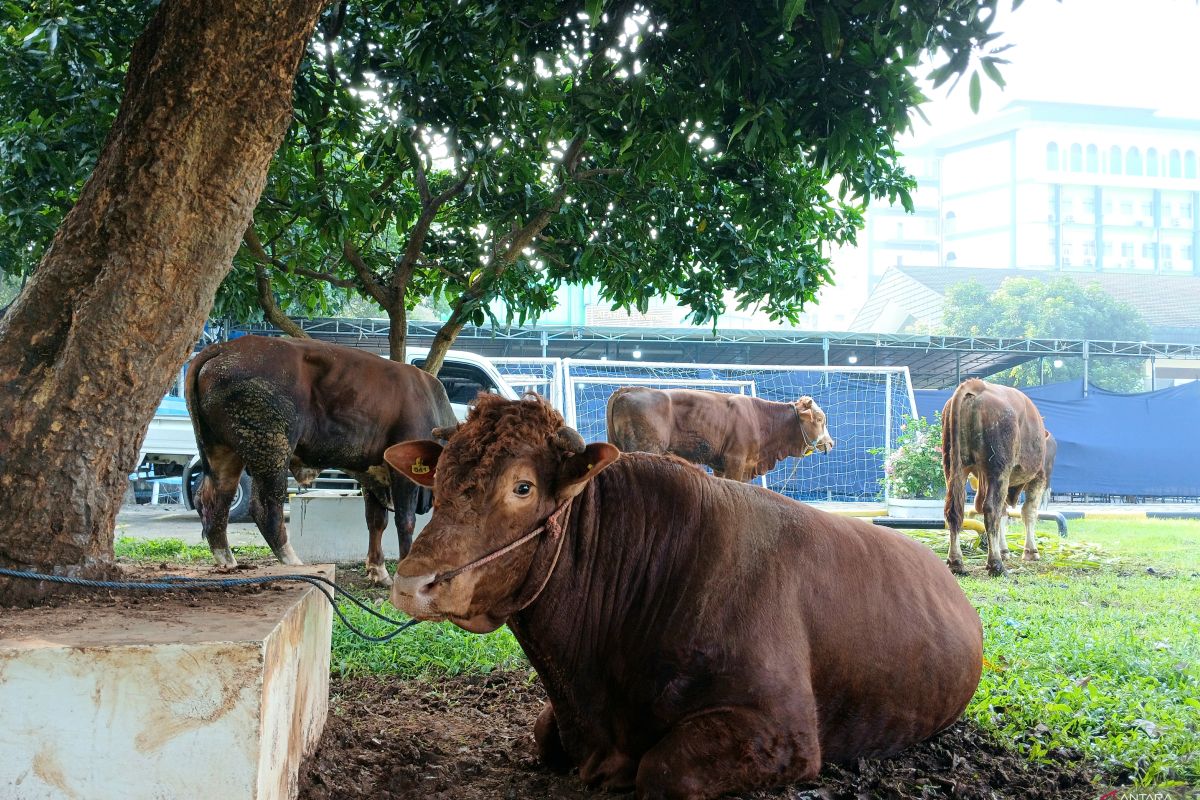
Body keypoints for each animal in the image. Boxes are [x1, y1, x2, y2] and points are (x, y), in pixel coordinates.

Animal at [609, 386, 835, 482]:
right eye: (820, 419)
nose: (831, 443)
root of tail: (629, 389)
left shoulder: (723, 466)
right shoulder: (736, 460)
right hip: (647, 449)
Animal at [940, 379, 1056, 578]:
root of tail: (977, 385)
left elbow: (1004, 515)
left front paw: (1004, 550)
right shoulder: (1039, 477)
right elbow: (1028, 512)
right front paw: (1030, 551)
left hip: (955, 466)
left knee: (954, 510)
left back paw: (956, 563)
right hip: (998, 469)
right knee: (991, 509)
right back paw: (995, 564)